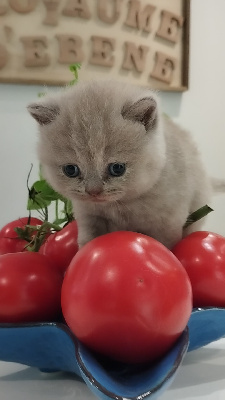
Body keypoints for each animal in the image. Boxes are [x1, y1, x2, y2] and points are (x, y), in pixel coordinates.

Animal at [27, 79, 212, 248]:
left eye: (117, 168)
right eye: (71, 170)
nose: (93, 191)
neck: (120, 206)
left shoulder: (168, 224)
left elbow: (166, 247)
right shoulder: (88, 216)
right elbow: (88, 243)